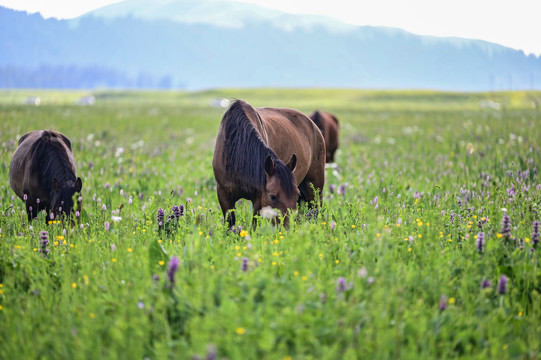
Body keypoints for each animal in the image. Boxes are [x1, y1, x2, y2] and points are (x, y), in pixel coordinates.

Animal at [213, 99, 324, 228]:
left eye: (296, 194)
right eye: (273, 196)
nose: (289, 227)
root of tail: (312, 124)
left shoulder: (258, 197)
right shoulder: (223, 195)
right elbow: (230, 223)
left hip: (315, 187)